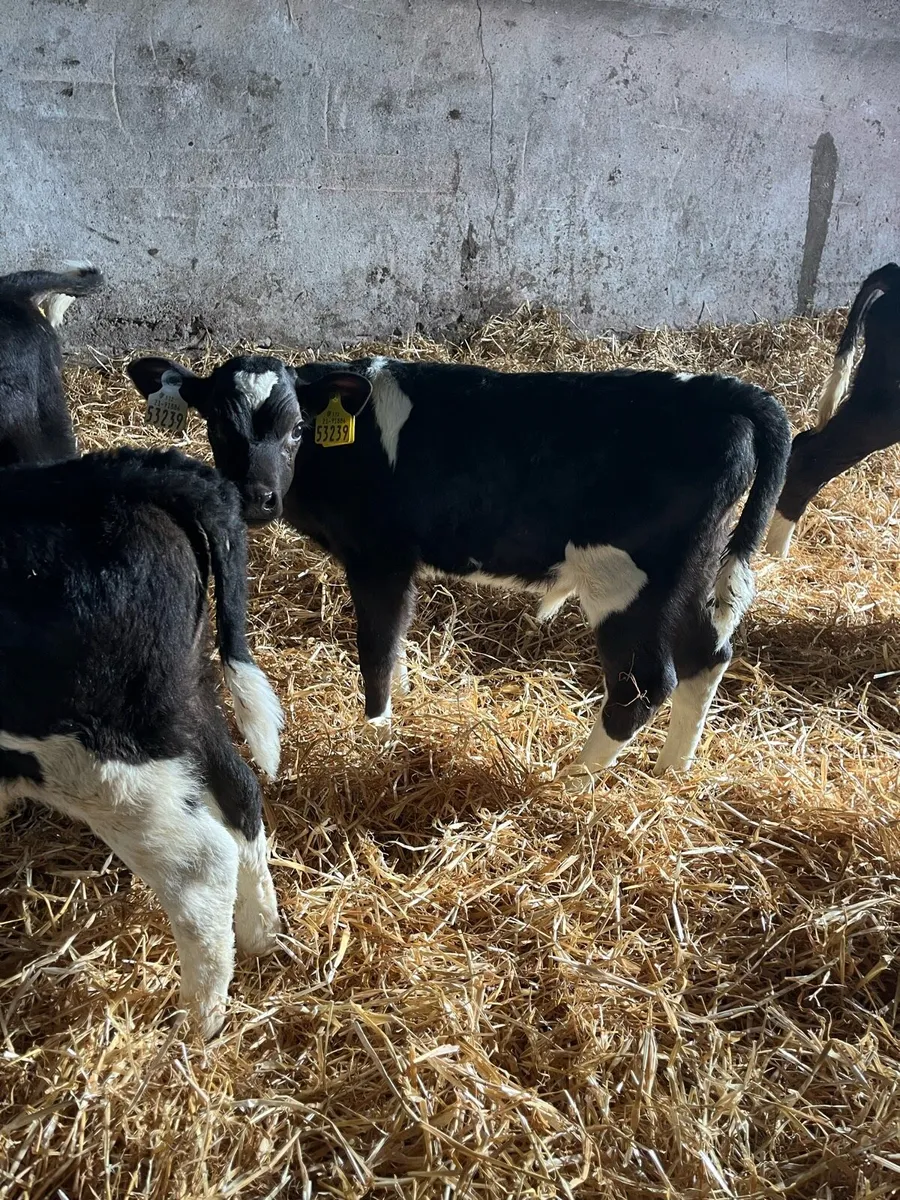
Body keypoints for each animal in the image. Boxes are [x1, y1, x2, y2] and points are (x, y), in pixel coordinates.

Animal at [0, 447, 284, 1037]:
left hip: (93, 755)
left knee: (201, 864)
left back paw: (193, 1028)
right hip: (187, 698)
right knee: (241, 793)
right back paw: (259, 934)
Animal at [127, 355, 790, 784]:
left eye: (297, 429)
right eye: (218, 425)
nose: (256, 498)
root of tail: (723, 392)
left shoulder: (381, 557)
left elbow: (377, 649)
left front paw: (376, 732)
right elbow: (395, 644)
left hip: (627, 581)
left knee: (645, 683)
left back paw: (570, 780)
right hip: (691, 570)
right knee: (709, 653)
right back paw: (673, 770)